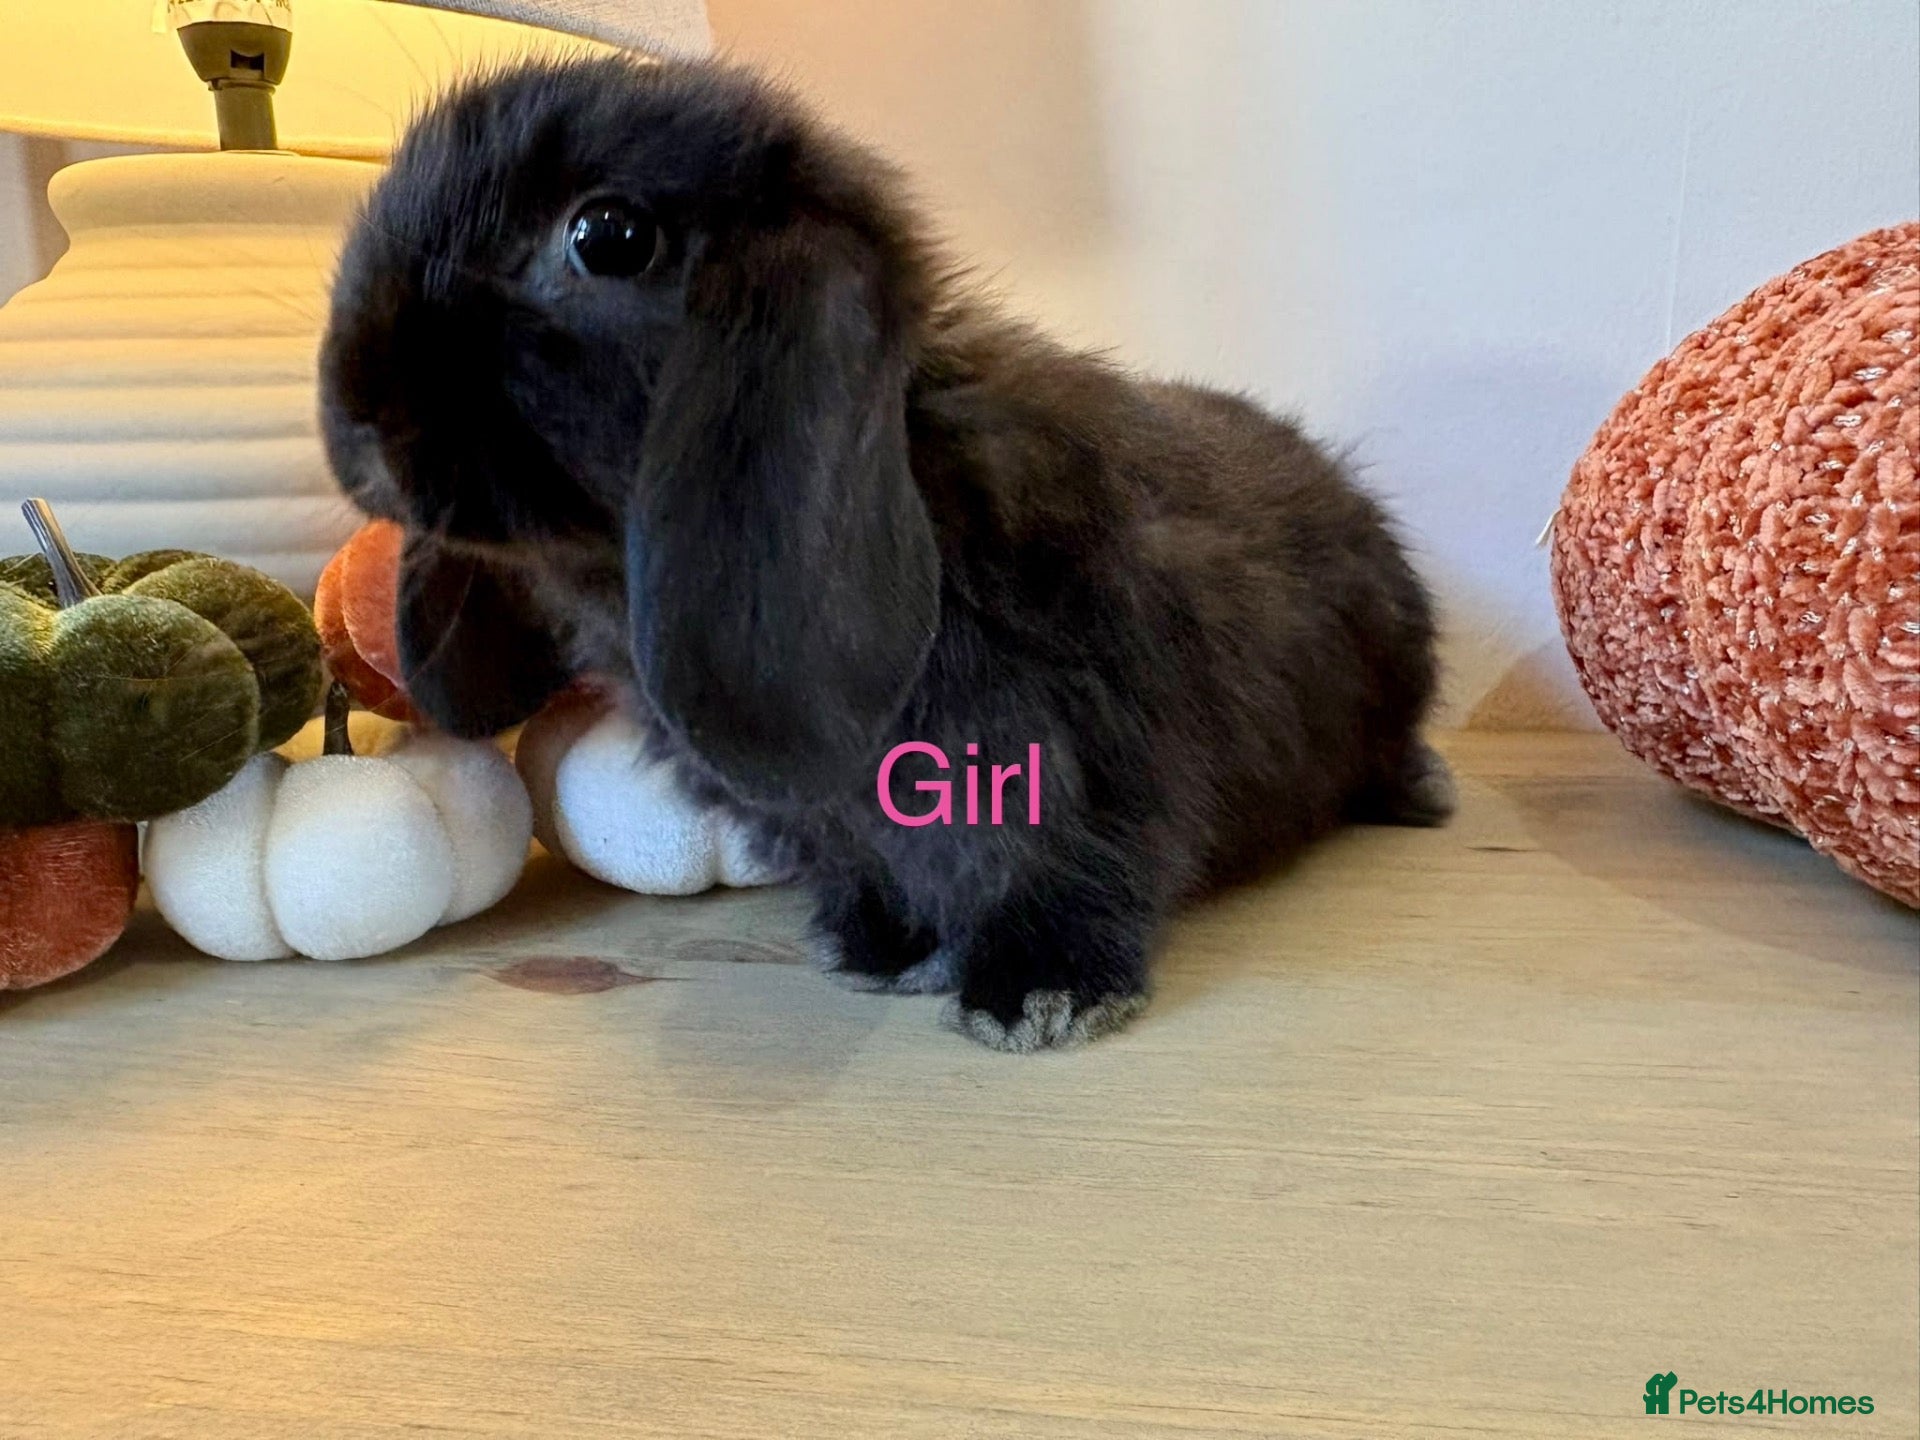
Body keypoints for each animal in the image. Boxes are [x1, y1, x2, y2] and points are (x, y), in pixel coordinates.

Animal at [318, 54, 1453, 1052]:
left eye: (607, 235)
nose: (355, 416)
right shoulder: (835, 827)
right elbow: (867, 873)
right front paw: (879, 949)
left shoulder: (1080, 766)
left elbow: (1074, 871)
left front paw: (1035, 995)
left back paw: (1421, 795)